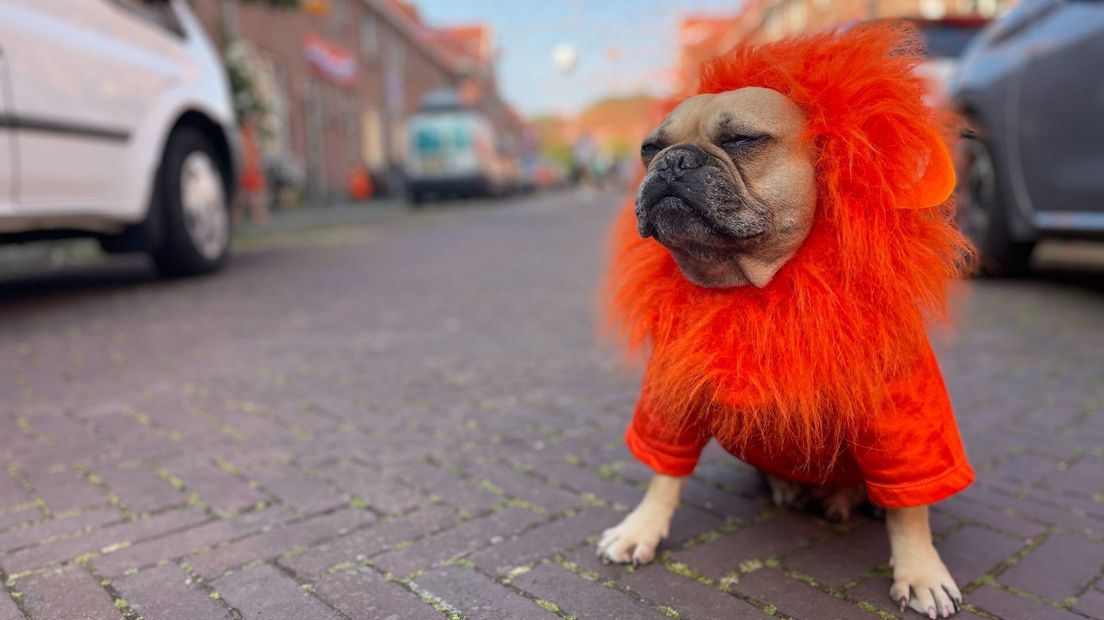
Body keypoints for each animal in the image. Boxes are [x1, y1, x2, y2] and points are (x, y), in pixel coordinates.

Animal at [596, 24, 975, 617]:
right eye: (649, 148)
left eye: (741, 140)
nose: (673, 161)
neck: (754, 287)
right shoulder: (670, 396)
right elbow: (664, 471)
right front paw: (641, 528)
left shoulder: (904, 421)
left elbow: (911, 506)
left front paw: (921, 571)